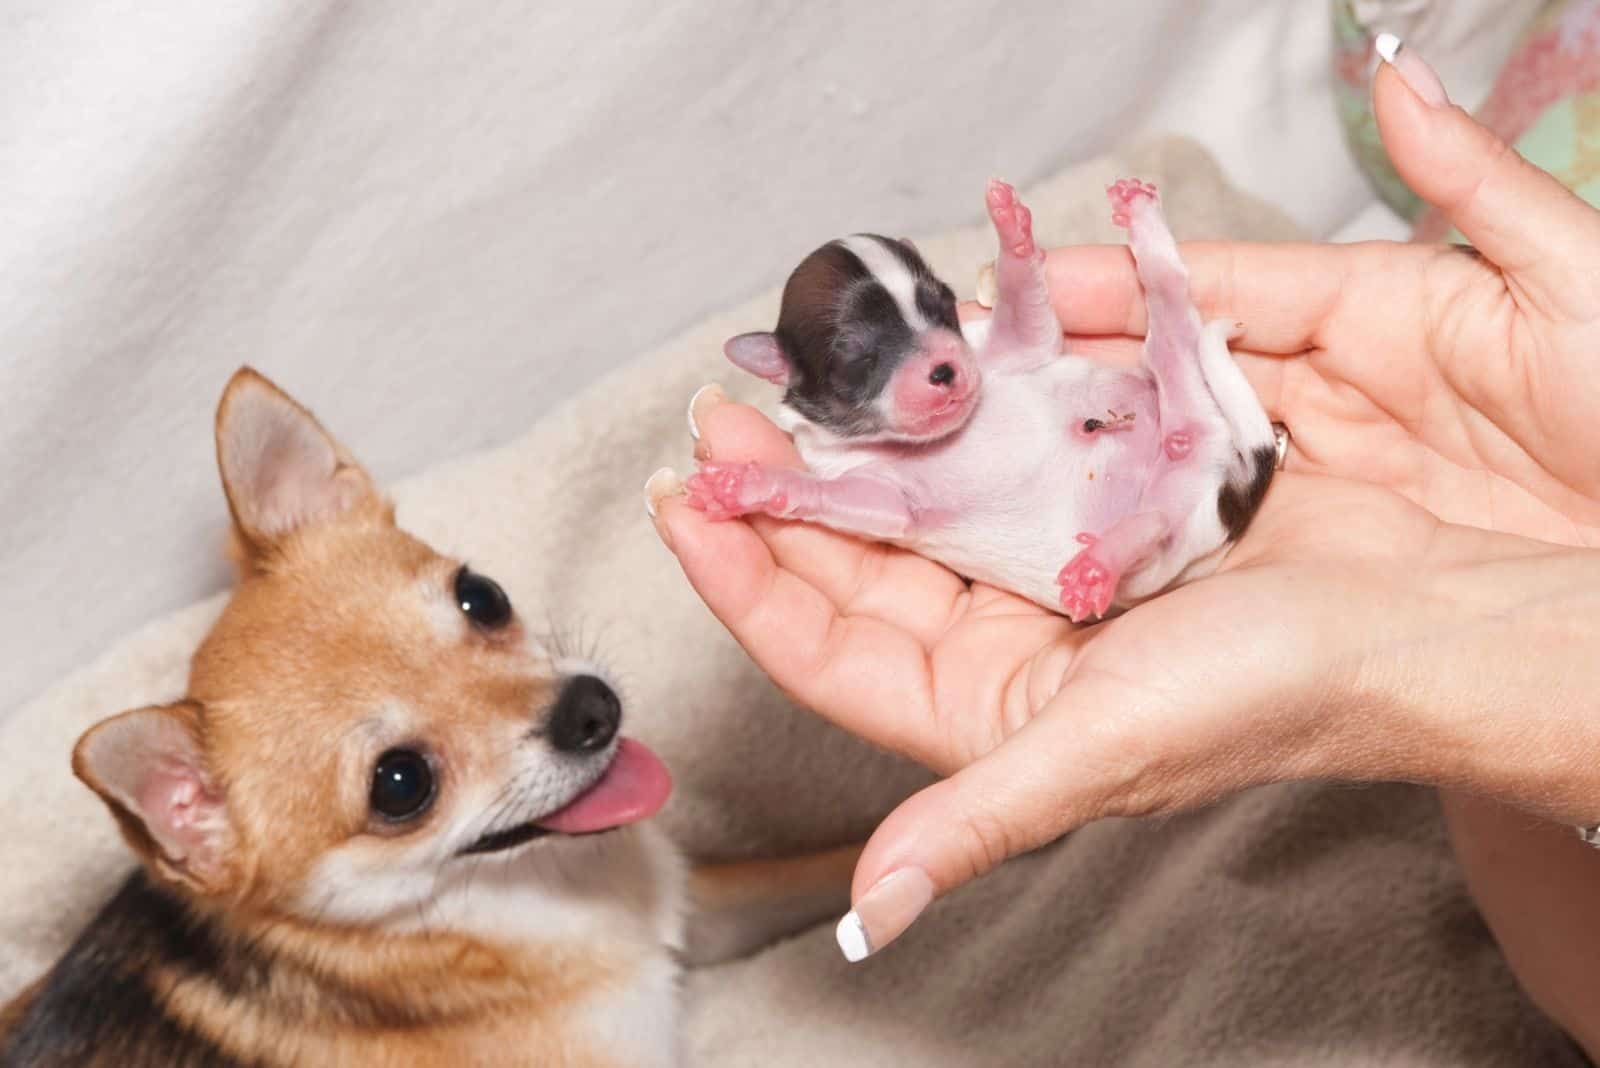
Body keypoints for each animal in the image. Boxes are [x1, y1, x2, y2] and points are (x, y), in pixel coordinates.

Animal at [688, 179, 1273, 620]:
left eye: (942, 306)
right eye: (855, 358)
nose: (945, 369)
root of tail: (1226, 475)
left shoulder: (1008, 351)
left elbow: (1027, 319)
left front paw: (1010, 231)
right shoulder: (876, 495)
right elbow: (830, 496)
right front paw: (745, 485)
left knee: (1171, 307)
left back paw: (1141, 221)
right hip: (1168, 524)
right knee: (1154, 517)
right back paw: (1102, 561)